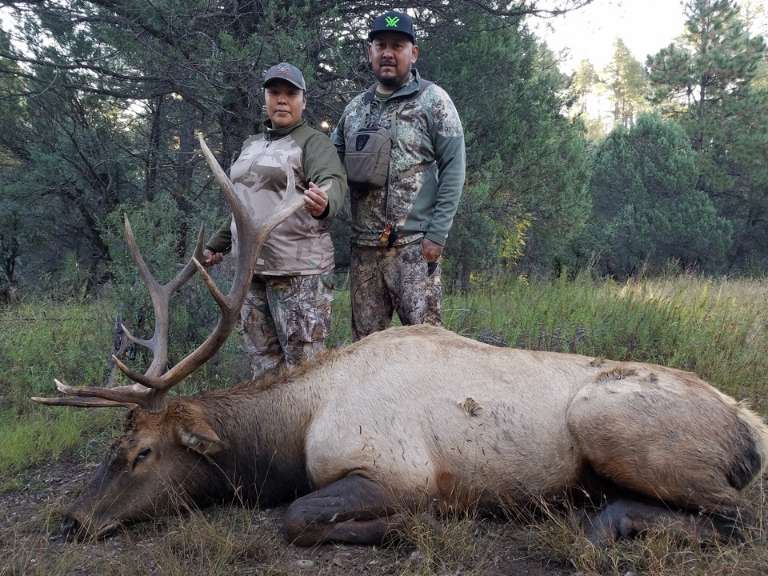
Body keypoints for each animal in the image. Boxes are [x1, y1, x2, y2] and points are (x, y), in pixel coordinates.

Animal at [33, 136, 768, 546]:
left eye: (142, 454)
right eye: (111, 445)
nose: (71, 520)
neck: (290, 435)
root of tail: (751, 425)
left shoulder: (394, 468)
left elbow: (296, 517)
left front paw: (415, 525)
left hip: (610, 420)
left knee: (738, 517)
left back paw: (608, 522)